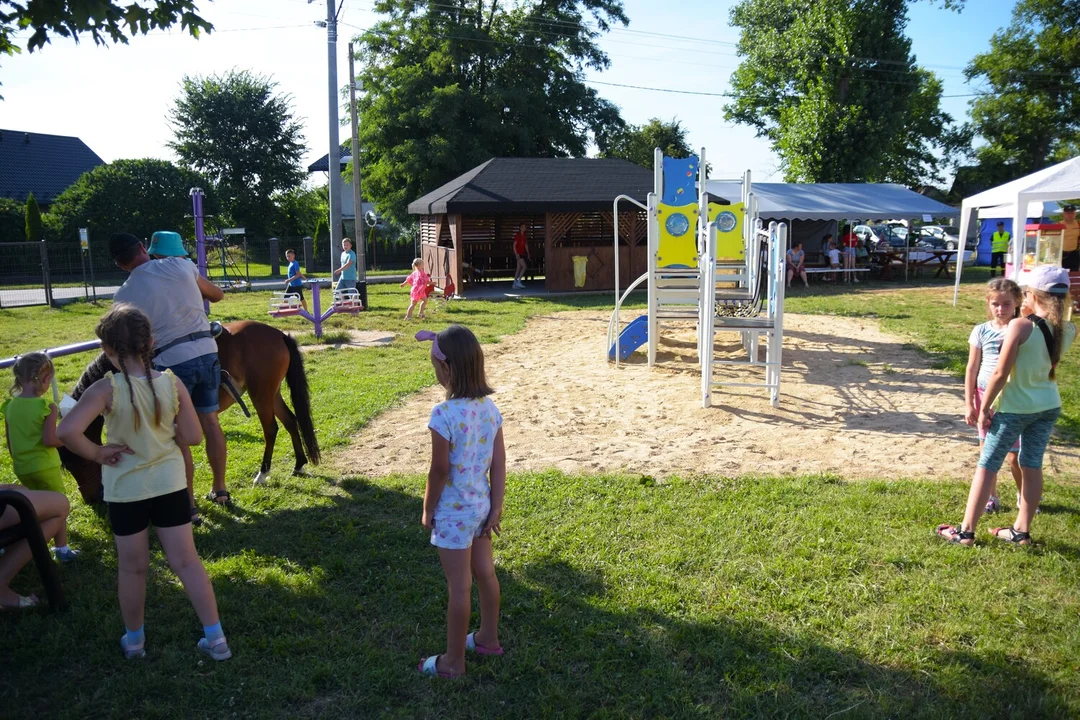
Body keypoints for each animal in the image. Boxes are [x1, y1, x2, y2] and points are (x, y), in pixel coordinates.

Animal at [59, 321, 317, 507]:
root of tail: (278, 334)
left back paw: (262, 474)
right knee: (291, 421)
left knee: (271, 429)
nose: (91, 499)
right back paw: (299, 464)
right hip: (271, 394)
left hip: (261, 395)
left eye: (76, 462)